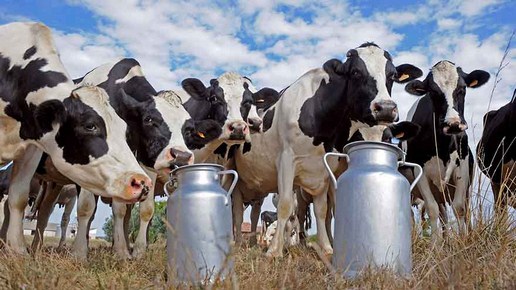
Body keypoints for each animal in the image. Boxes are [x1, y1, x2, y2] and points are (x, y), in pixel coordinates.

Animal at [0, 22, 151, 254]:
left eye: (125, 130)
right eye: (90, 125)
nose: (142, 183)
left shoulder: (32, 149)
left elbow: (19, 197)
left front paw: (17, 250)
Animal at [227, 42, 424, 256]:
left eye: (392, 75)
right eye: (355, 72)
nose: (386, 108)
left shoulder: (324, 169)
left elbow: (322, 210)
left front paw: (327, 247)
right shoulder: (286, 160)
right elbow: (285, 205)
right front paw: (274, 251)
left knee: (253, 214)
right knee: (238, 213)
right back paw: (238, 244)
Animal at [402, 60, 490, 240]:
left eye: (462, 88)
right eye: (433, 92)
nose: (453, 124)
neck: (442, 147)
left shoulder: (462, 168)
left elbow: (459, 208)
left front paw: (463, 241)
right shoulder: (420, 172)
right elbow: (432, 209)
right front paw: (435, 244)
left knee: (463, 210)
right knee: (441, 214)